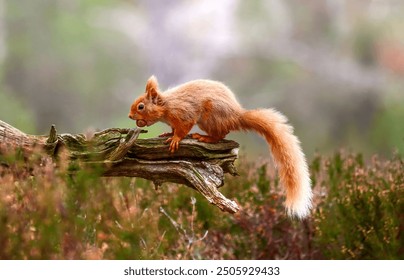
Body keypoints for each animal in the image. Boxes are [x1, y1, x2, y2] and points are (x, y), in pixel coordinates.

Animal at [129, 75, 312, 218]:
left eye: (141, 106)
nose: (130, 116)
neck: (166, 105)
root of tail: (236, 116)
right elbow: (174, 129)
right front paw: (168, 134)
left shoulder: (184, 113)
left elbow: (182, 129)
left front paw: (175, 139)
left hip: (210, 116)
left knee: (221, 134)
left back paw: (205, 137)